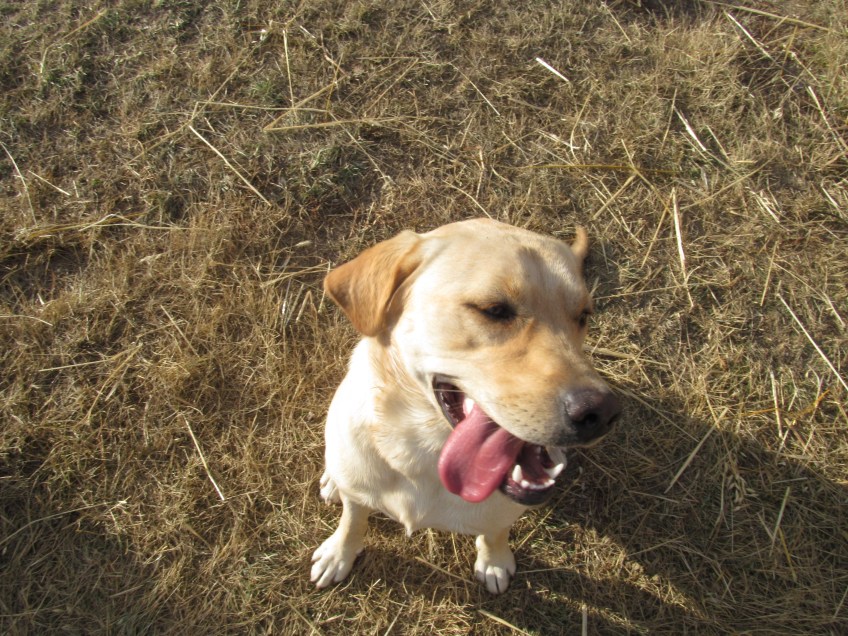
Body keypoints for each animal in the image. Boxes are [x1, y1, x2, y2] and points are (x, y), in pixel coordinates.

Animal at [311, 218, 620, 593]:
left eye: (583, 315)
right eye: (495, 310)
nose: (602, 412)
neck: (424, 455)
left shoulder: (502, 514)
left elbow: (494, 533)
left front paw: (494, 562)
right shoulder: (358, 497)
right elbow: (353, 520)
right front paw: (338, 553)